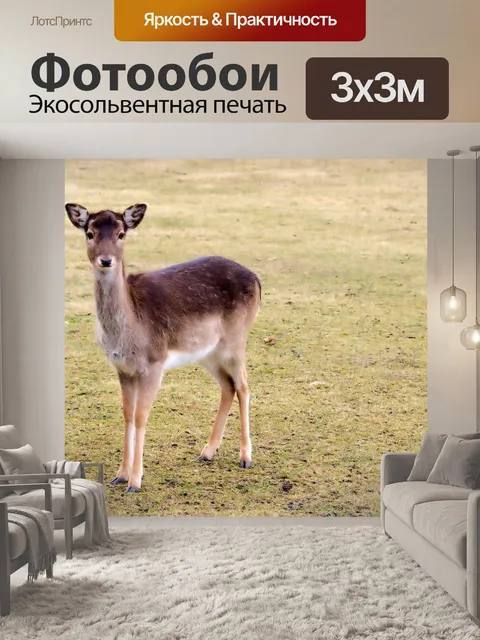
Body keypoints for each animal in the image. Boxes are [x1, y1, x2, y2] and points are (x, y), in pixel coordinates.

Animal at [65, 203, 261, 493]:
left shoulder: (154, 364)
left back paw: (245, 457)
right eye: (89, 233)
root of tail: (257, 279)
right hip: (208, 352)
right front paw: (119, 475)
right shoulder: (122, 368)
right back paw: (207, 452)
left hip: (235, 341)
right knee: (228, 387)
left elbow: (140, 416)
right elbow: (127, 415)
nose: (106, 260)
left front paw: (135, 481)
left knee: (244, 386)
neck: (128, 333)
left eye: (122, 234)